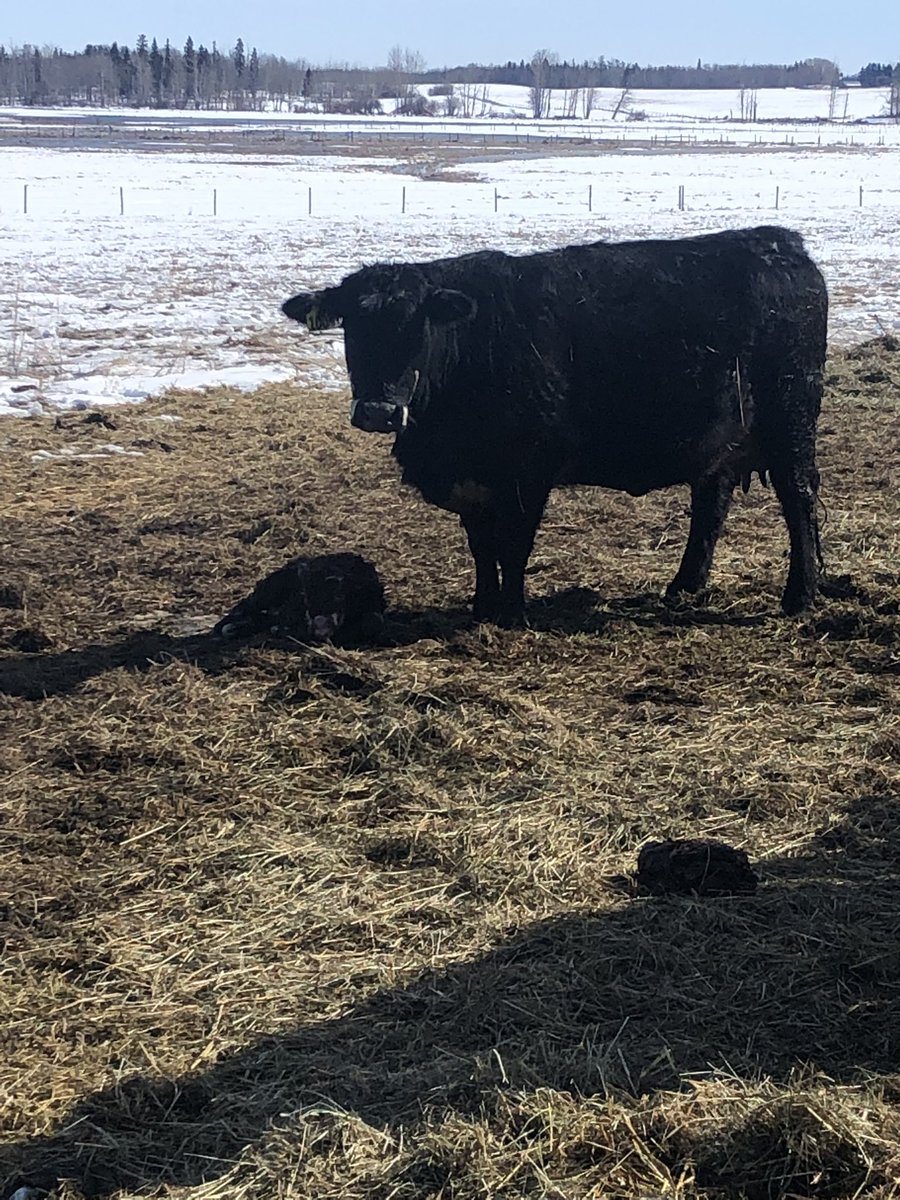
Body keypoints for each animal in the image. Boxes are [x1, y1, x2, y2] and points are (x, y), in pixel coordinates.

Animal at [283, 225, 830, 624]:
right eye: (351, 326)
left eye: (418, 325)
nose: (377, 411)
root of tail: (779, 243)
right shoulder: (474, 480)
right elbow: (481, 546)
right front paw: (482, 606)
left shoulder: (527, 471)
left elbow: (513, 545)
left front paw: (511, 613)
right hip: (721, 437)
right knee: (711, 503)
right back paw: (683, 586)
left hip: (791, 418)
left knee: (798, 498)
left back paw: (799, 596)